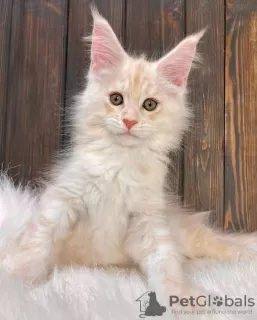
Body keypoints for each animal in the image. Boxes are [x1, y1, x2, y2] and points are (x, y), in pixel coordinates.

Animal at [1, 10, 255, 302]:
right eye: (116, 99)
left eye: (149, 105)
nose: (130, 121)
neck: (119, 164)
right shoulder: (64, 198)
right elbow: (38, 241)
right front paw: (15, 278)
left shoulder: (149, 217)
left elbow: (165, 261)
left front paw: (180, 297)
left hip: (184, 231)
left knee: (215, 241)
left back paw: (247, 255)